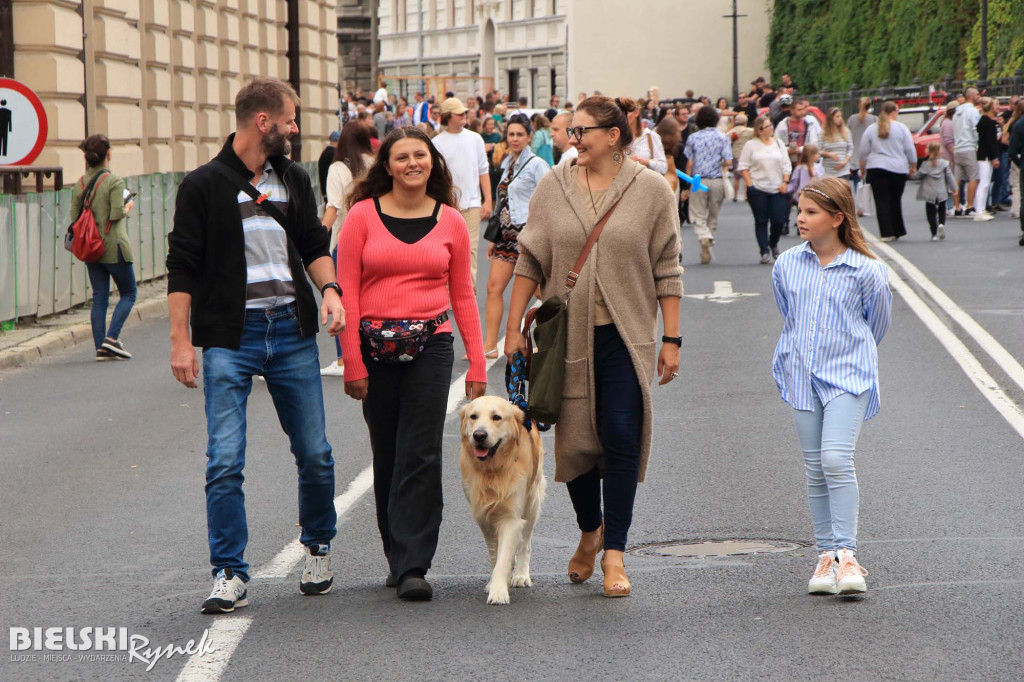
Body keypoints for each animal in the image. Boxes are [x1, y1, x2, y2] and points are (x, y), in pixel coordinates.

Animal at [460, 395, 548, 602]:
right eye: (473, 416)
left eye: (497, 417)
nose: (479, 435)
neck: (493, 470)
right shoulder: (483, 516)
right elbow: (496, 554)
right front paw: (495, 583)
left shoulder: (511, 517)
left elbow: (505, 555)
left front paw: (499, 592)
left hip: (532, 503)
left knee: (525, 544)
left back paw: (521, 575)